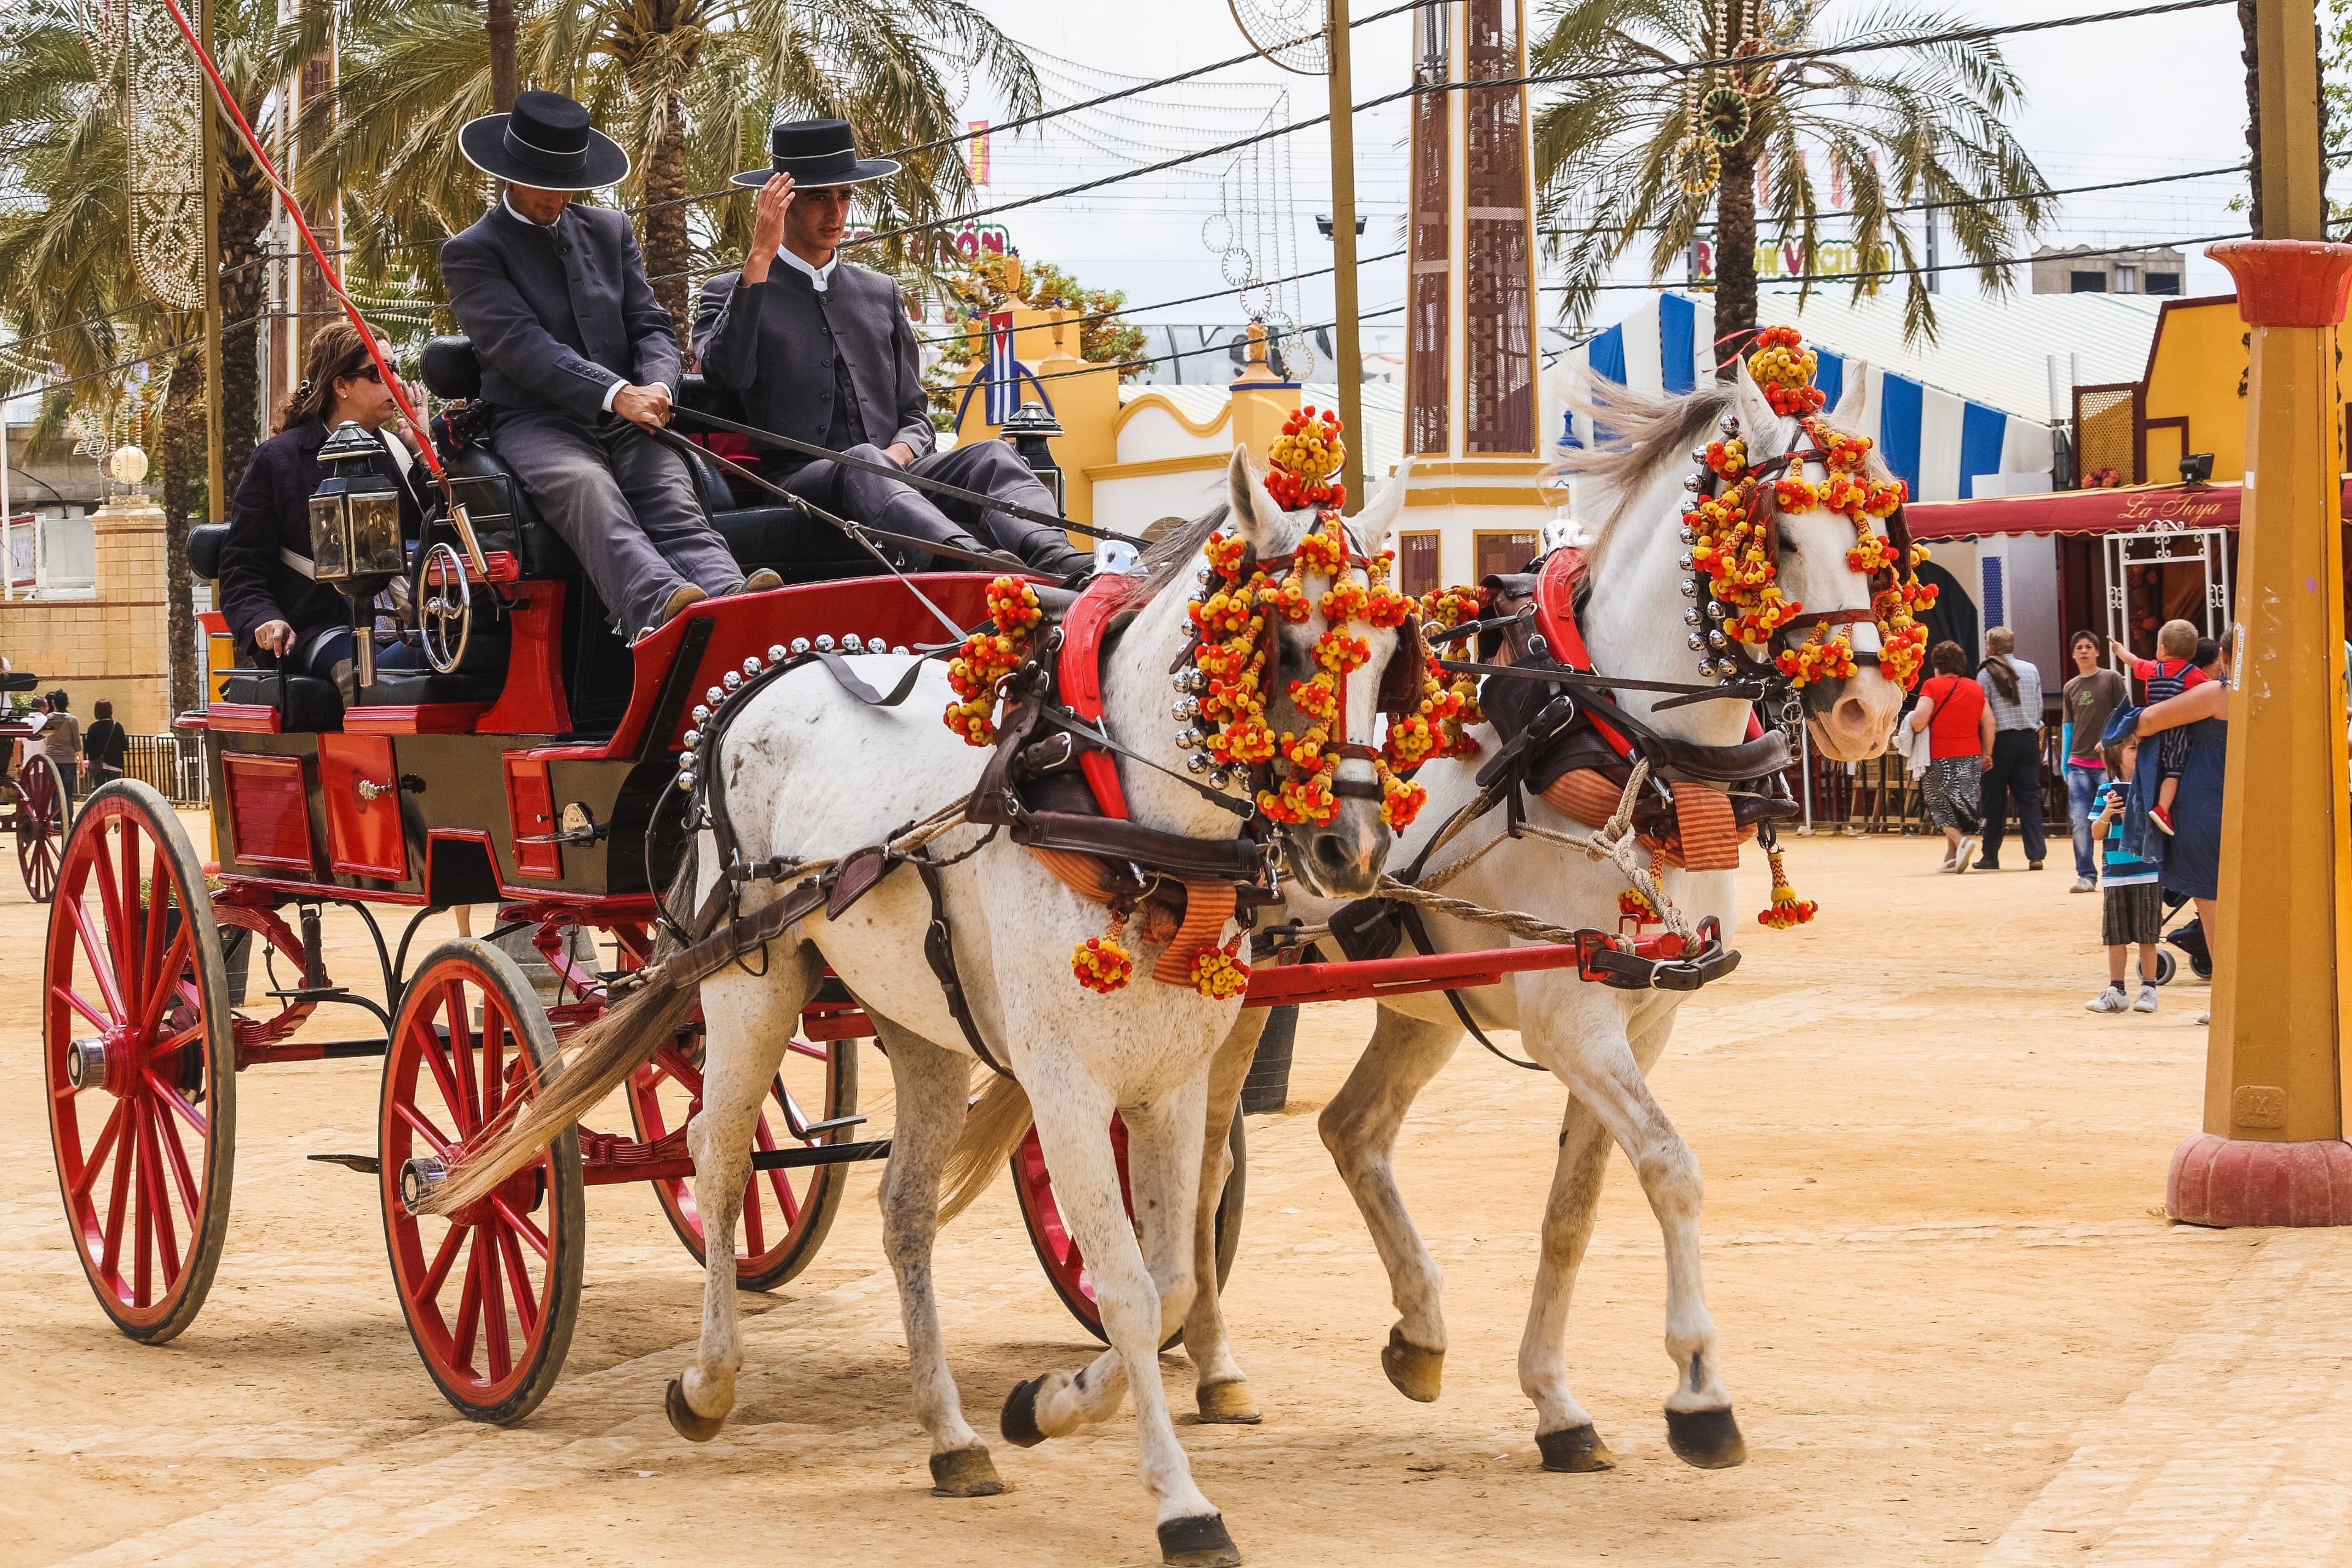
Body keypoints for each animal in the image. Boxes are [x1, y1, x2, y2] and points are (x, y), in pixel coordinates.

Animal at [432, 451, 1401, 1568]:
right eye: (1284, 641)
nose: (1351, 852)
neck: (1113, 805)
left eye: (1391, 651)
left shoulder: (1170, 1082)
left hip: (916, 1022)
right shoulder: (1067, 1087)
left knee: (901, 1209)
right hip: (747, 980)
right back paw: (707, 1382)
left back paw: (951, 1438)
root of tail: (756, 685)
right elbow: (1124, 1284)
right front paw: (1181, 1502)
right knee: (715, 1160)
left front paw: (1046, 1406)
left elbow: (1171, 1282)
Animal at [1166, 355, 1919, 1476]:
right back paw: (1212, 1362)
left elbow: (1576, 1209)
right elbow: (1673, 1170)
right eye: (1779, 536)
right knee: (1208, 1160)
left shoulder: (1643, 1017)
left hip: (1418, 995)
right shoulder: (1574, 1020)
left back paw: (1419, 1330)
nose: (1866, 713)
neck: (1616, 739)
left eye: (1874, 531)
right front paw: (1701, 1391)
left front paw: (1558, 1406)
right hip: (1241, 989)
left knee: (1354, 1130)